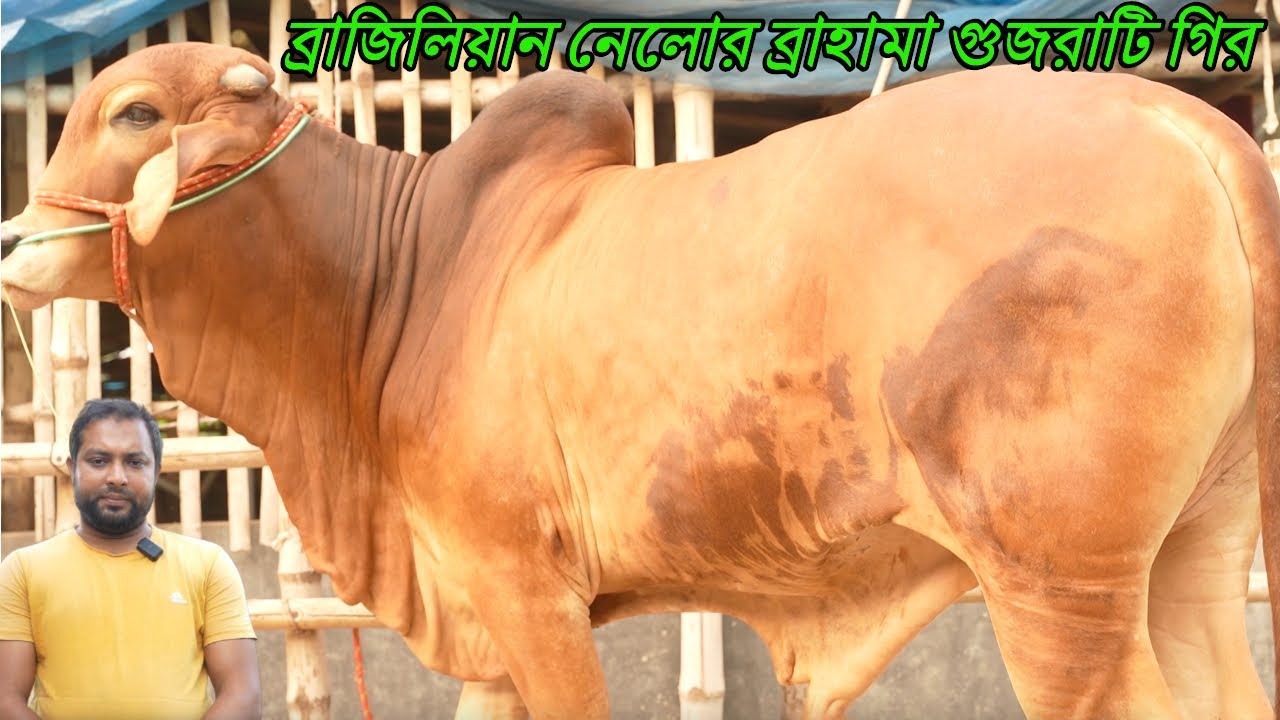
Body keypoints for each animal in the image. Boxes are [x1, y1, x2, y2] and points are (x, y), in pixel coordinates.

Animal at [2, 41, 1278, 720]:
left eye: (133, 111)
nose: (16, 242)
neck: (398, 285)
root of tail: (1185, 124)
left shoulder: (524, 585)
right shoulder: (486, 608)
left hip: (1056, 591)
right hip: (1191, 556)